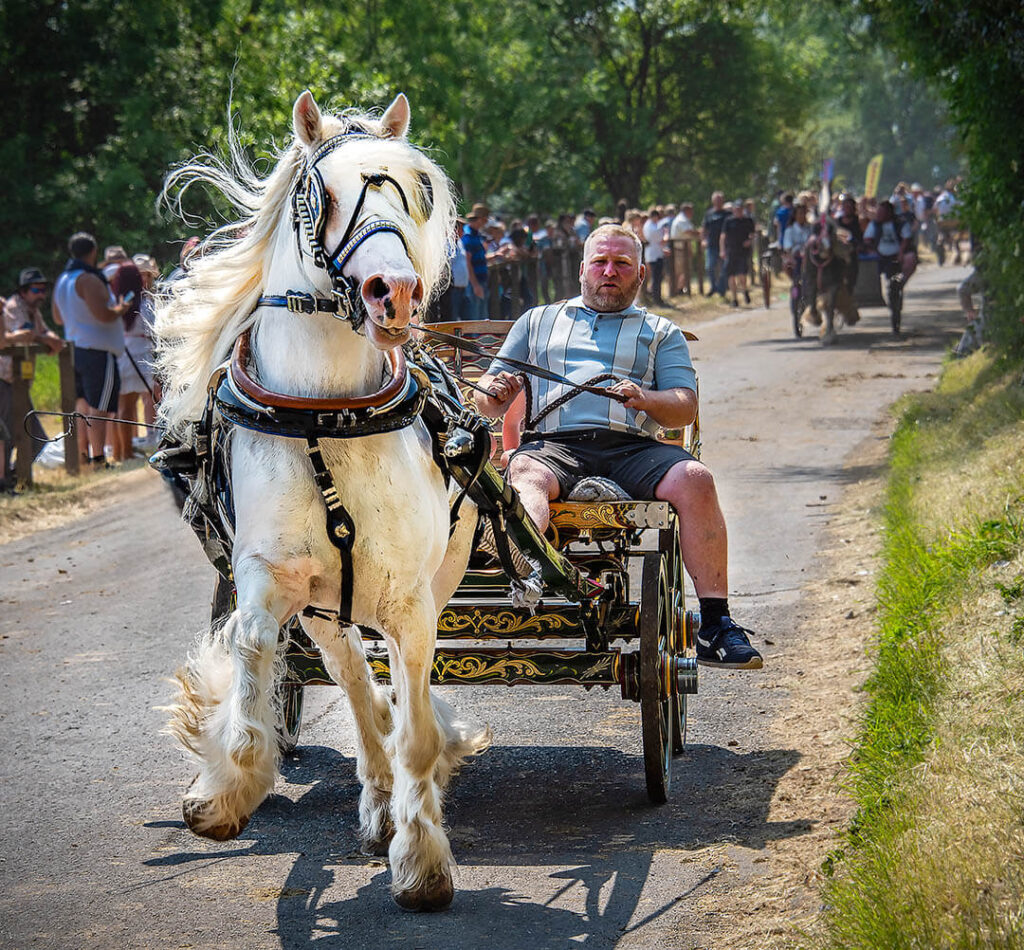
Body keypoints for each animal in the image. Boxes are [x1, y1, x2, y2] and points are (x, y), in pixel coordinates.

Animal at [156, 91, 491, 913]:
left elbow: (415, 728)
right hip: (324, 608)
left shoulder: (409, 602)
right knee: (351, 679)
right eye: (321, 195)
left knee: (391, 694)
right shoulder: (267, 577)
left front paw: (423, 860)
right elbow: (252, 659)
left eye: (414, 190)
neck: (323, 416)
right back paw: (374, 798)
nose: (394, 292)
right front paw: (227, 790)